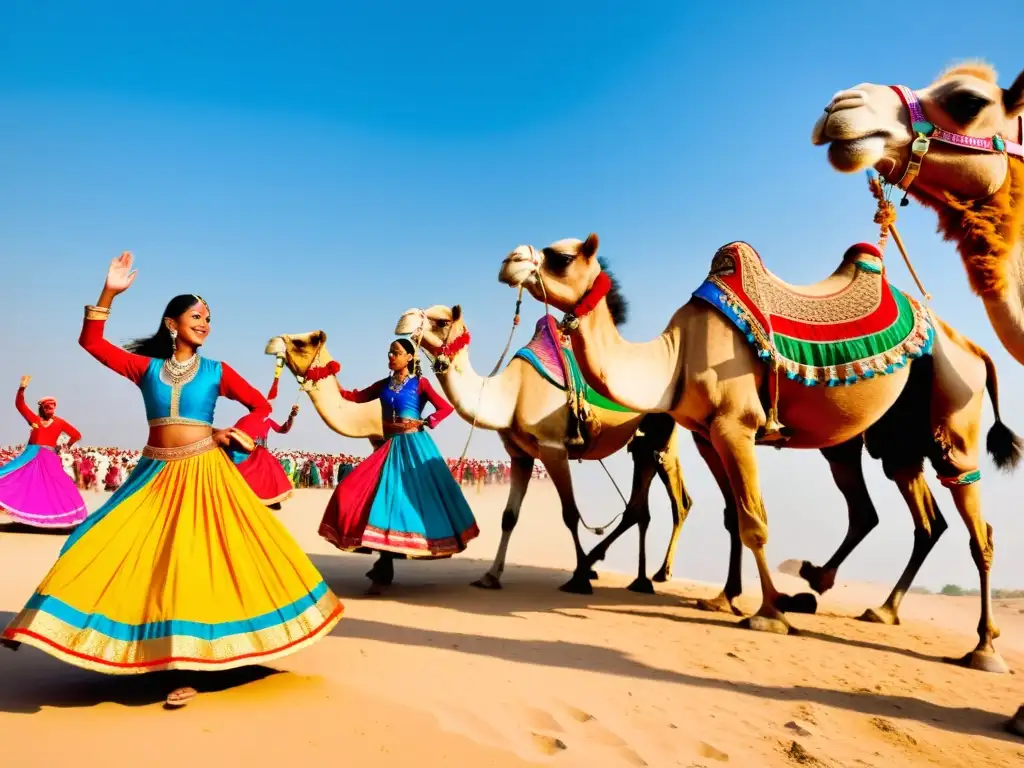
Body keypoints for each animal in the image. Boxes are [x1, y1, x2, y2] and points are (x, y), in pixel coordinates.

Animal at [268, 321, 692, 598]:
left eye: (303, 341)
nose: (272, 342)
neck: (511, 393)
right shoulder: (521, 453)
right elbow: (509, 516)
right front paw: (490, 576)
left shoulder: (552, 448)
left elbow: (569, 513)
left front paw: (578, 579)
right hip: (645, 441)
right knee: (644, 506)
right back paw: (637, 575)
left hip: (659, 432)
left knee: (664, 501)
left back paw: (633, 573)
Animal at [495, 234, 1015, 671]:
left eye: (561, 256)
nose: (509, 261)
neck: (678, 355)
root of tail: (975, 346)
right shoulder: (706, 435)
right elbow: (733, 517)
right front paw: (726, 598)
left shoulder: (735, 425)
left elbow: (754, 522)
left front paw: (768, 613)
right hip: (893, 440)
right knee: (910, 516)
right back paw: (867, 603)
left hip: (955, 409)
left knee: (978, 528)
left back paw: (983, 648)